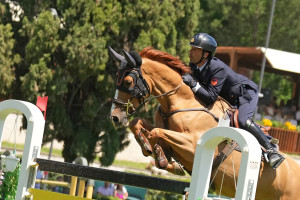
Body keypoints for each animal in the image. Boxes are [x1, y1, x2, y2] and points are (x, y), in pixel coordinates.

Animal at [109, 46, 300, 199]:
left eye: (128, 81)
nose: (115, 117)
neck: (182, 101)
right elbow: (138, 123)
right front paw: (153, 150)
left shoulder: (193, 145)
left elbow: (157, 133)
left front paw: (161, 155)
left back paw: (274, 156)